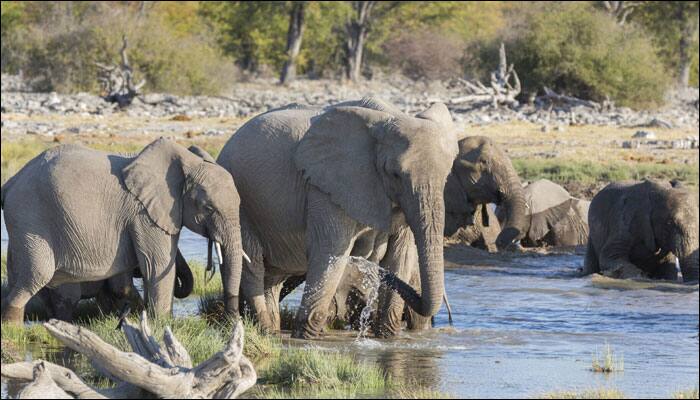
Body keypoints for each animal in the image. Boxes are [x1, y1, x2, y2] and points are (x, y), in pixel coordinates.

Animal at [0, 139, 245, 324]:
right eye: (208, 208)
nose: (231, 318)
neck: (186, 163)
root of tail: (11, 182)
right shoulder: (143, 214)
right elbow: (156, 265)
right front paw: (162, 323)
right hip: (29, 216)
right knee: (38, 274)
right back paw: (14, 327)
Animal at [219, 96, 460, 338]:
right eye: (394, 174)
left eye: (447, 175)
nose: (367, 261)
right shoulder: (326, 186)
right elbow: (330, 252)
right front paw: (305, 339)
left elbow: (400, 256)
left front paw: (387, 337)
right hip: (239, 204)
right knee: (253, 265)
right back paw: (266, 330)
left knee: (273, 278)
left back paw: (271, 329)